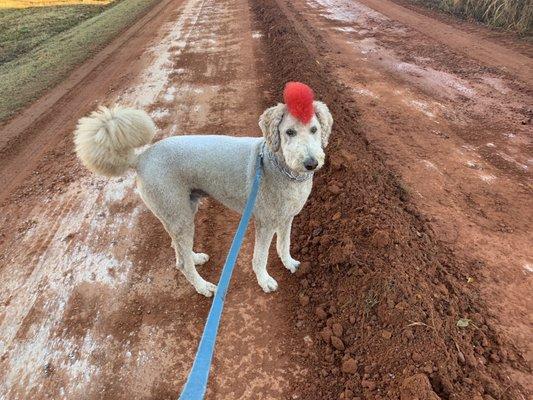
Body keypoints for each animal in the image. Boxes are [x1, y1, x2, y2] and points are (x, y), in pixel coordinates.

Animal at [75, 81, 332, 296]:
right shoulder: (265, 222)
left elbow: (284, 244)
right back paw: (203, 287)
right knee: (181, 263)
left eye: (314, 129)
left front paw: (289, 263)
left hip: (183, 210)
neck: (277, 165)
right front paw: (264, 280)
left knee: (178, 248)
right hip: (178, 214)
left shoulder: (287, 217)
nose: (311, 163)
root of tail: (140, 159)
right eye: (289, 132)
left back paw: (194, 257)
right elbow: (260, 257)